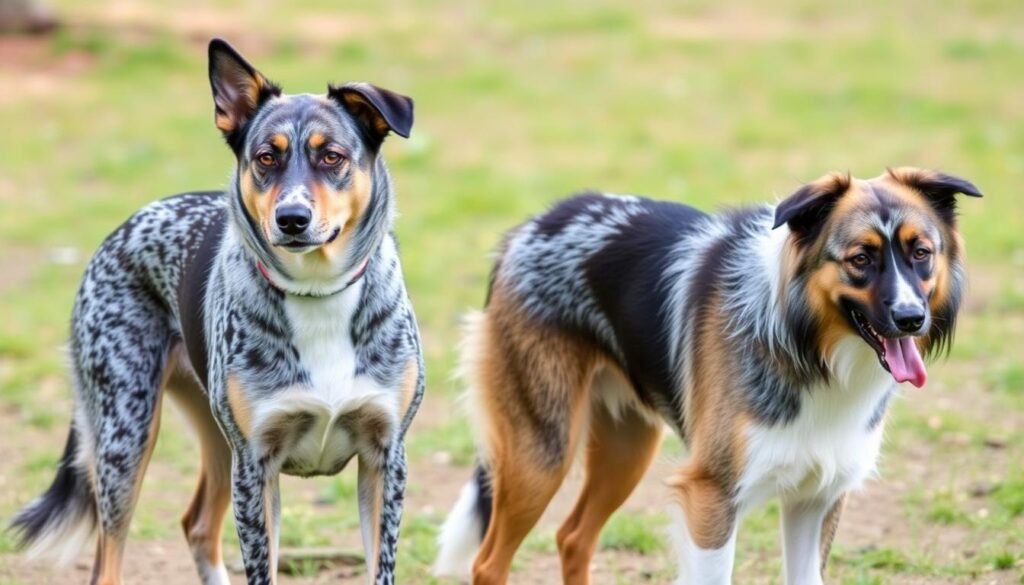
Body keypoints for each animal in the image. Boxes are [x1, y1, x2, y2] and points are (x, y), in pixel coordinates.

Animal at [9, 38, 423, 581]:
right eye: (266, 157)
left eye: (332, 156)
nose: (292, 218)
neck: (317, 294)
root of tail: (124, 226)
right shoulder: (256, 464)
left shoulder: (384, 458)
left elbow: (382, 566)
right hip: (126, 434)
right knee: (110, 559)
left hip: (214, 442)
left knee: (198, 524)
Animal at [436, 166, 978, 581]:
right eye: (861, 259)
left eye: (921, 253)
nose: (911, 319)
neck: (806, 347)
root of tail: (532, 226)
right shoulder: (711, 497)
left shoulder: (817, 498)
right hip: (542, 452)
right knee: (488, 563)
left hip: (627, 450)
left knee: (573, 538)